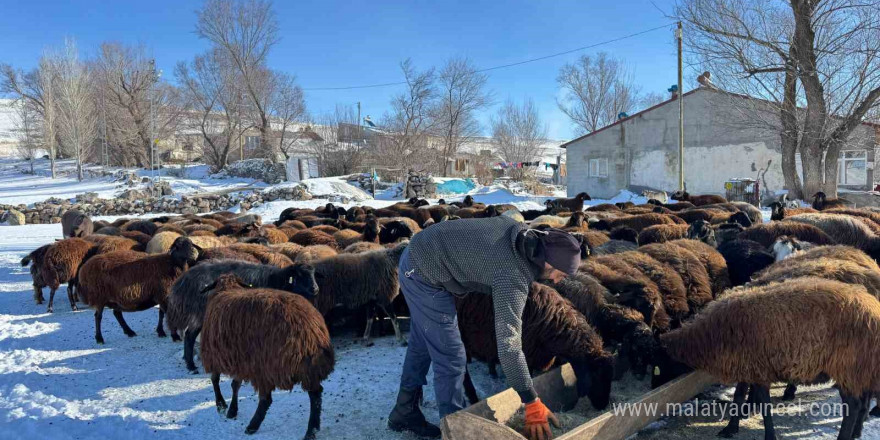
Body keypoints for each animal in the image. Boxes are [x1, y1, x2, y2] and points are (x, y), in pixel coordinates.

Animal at [201, 276, 336, 436]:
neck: (228, 288)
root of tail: (311, 332)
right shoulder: (241, 359)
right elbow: (235, 385)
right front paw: (232, 410)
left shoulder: (213, 354)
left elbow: (215, 380)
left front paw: (221, 405)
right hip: (306, 368)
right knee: (316, 393)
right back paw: (313, 429)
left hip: (267, 366)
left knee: (266, 399)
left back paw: (253, 426)